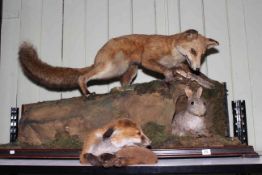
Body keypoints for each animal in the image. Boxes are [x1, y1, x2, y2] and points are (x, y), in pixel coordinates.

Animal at [18, 29, 218, 96]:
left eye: (202, 55)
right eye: (193, 51)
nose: (197, 68)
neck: (173, 54)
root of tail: (98, 56)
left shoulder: (181, 65)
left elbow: (189, 74)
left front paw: (205, 81)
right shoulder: (148, 60)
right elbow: (165, 70)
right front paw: (169, 78)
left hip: (130, 71)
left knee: (121, 84)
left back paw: (125, 90)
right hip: (110, 69)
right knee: (82, 76)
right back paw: (87, 93)